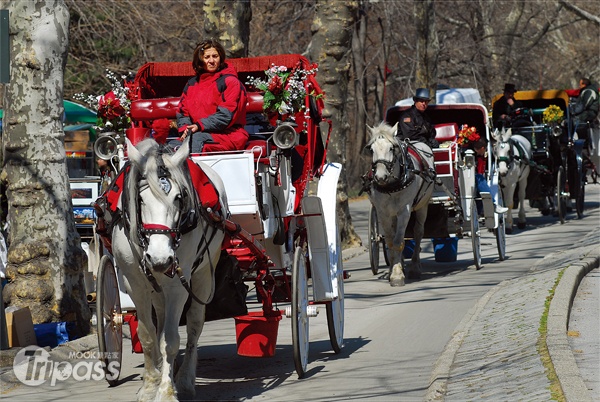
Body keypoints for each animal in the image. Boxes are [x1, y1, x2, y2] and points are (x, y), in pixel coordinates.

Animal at [111, 137, 226, 398]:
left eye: (178, 197)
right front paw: (149, 385)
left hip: (204, 273)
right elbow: (148, 335)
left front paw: (166, 391)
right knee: (161, 319)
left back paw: (184, 379)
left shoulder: (178, 286)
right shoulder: (135, 284)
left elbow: (171, 340)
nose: (160, 258)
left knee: (194, 325)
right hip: (156, 286)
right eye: (141, 200)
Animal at [366, 121, 436, 286]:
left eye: (391, 148)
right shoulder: (383, 212)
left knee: (418, 233)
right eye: (371, 149)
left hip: (423, 206)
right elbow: (390, 241)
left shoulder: (404, 211)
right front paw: (394, 269)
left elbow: (398, 241)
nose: (380, 177)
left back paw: (414, 268)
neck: (392, 184)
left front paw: (397, 275)